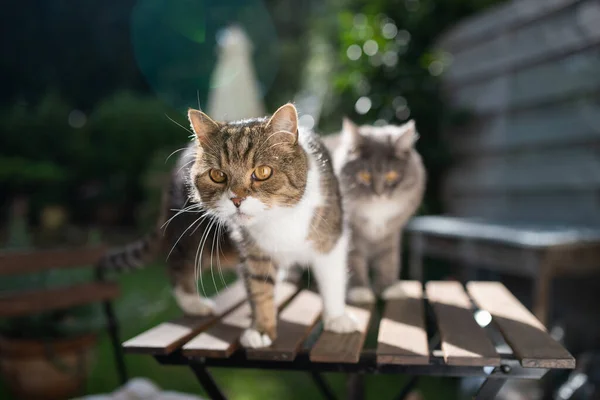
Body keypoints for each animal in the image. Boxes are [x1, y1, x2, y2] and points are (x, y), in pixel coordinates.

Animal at [101, 103, 358, 346]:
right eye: (217, 175)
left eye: (263, 172)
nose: (236, 199)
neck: (279, 218)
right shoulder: (253, 249)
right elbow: (259, 287)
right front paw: (261, 330)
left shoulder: (331, 236)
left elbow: (332, 278)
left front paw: (337, 317)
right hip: (193, 236)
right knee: (178, 264)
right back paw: (193, 303)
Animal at [324, 118, 426, 304]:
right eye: (365, 175)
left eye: (391, 175)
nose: (379, 194)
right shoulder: (350, 236)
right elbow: (354, 261)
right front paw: (359, 291)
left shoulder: (391, 235)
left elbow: (389, 260)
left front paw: (389, 288)